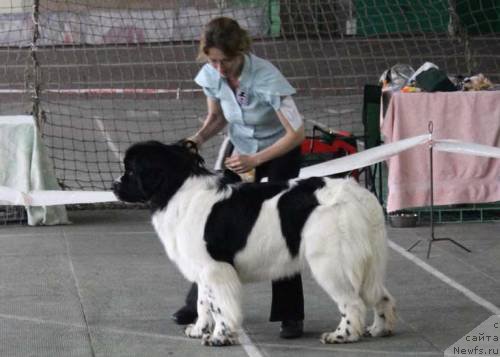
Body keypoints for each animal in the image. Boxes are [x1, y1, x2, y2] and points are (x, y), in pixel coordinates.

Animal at [112, 140, 394, 344]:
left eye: (130, 170)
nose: (114, 185)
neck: (176, 190)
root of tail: (360, 195)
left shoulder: (216, 268)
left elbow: (220, 306)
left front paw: (219, 337)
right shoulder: (203, 268)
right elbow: (204, 303)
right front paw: (199, 330)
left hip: (330, 263)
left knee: (353, 302)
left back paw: (342, 335)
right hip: (368, 263)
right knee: (381, 295)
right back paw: (380, 328)